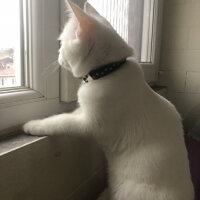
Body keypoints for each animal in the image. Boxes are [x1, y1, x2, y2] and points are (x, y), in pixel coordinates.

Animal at [23, 0, 194, 199]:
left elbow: (60, 121)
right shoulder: (84, 111)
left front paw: (32, 125)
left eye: (61, 43)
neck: (108, 71)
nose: (58, 54)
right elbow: (66, 114)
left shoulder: (90, 124)